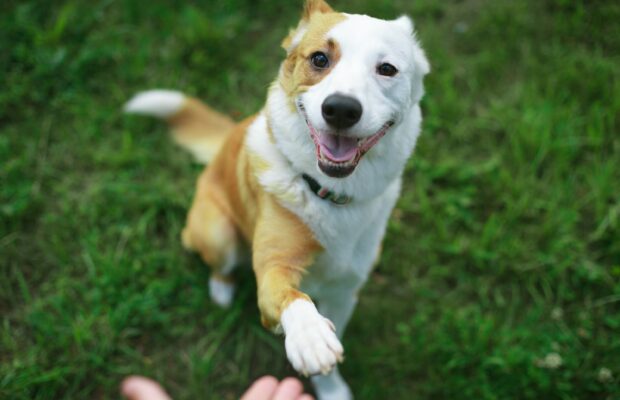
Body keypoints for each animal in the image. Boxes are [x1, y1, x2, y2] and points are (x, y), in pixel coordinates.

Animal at [123, 1, 428, 398]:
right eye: (319, 58)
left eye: (387, 69)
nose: (341, 109)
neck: (330, 194)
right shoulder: (273, 268)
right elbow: (290, 295)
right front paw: (310, 337)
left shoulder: (345, 291)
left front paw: (331, 388)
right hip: (218, 233)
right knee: (213, 258)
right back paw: (221, 289)